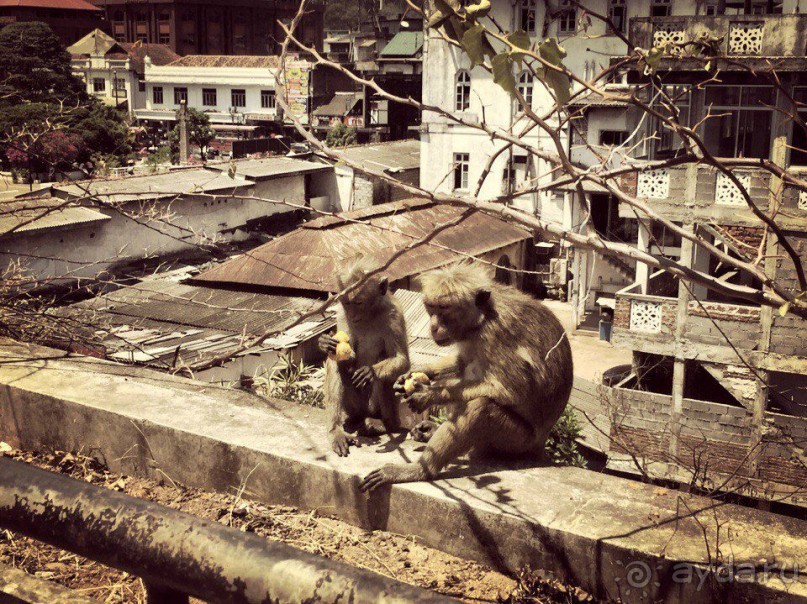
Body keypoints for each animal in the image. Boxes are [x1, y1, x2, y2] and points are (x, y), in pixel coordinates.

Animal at [318, 258, 410, 458]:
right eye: (347, 303)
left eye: (358, 302)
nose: (352, 315)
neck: (371, 314)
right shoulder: (341, 313)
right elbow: (341, 355)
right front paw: (324, 343)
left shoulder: (394, 314)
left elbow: (401, 360)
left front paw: (370, 372)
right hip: (354, 406)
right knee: (335, 365)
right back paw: (337, 430)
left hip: (375, 408)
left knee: (386, 378)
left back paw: (382, 425)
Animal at [360, 262, 576, 494]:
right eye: (431, 308)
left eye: (444, 309)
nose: (433, 326)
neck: (482, 319)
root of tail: (539, 446)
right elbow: (462, 362)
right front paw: (417, 375)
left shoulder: (497, 333)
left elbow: (511, 390)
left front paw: (428, 394)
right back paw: (430, 432)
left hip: (518, 443)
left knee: (481, 407)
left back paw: (422, 470)